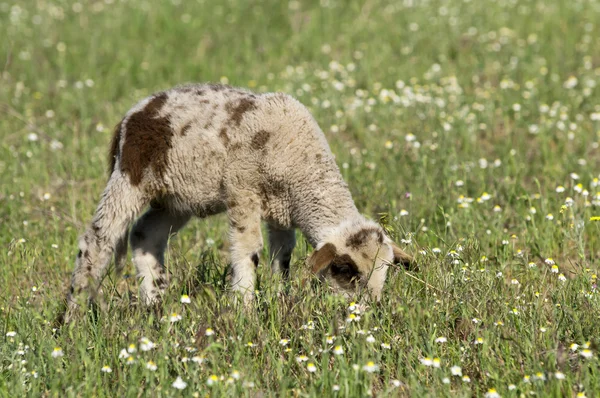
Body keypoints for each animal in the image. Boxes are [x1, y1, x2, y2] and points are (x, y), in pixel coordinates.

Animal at [65, 82, 412, 318]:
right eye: (344, 270)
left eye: (385, 272)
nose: (366, 313)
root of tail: (133, 114)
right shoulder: (242, 190)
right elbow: (248, 249)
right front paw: (244, 306)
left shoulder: (282, 208)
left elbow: (282, 254)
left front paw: (280, 296)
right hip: (131, 176)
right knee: (97, 240)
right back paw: (73, 313)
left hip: (176, 197)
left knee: (144, 235)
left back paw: (155, 304)